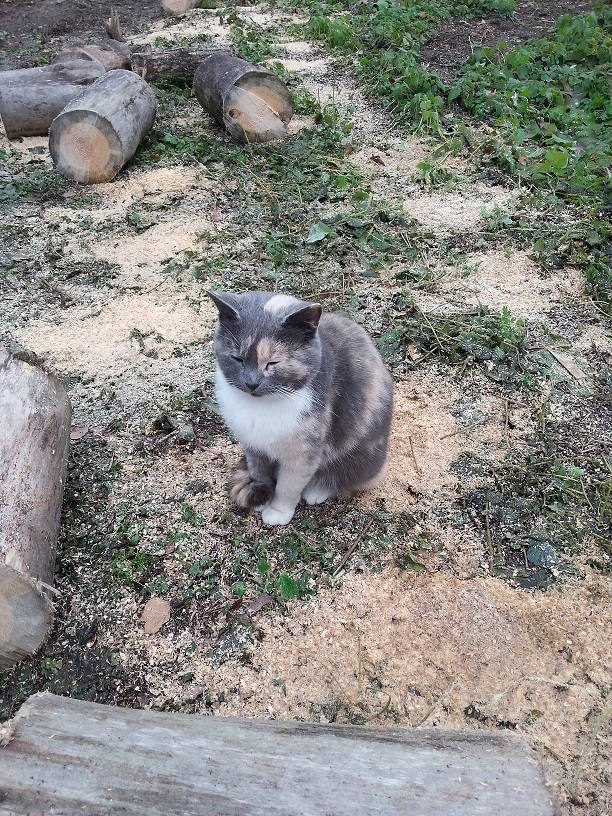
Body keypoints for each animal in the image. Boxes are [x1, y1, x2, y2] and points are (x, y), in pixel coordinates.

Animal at [209, 290, 392, 524]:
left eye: (273, 363)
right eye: (237, 358)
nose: (251, 383)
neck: (260, 406)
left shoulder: (304, 453)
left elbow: (288, 486)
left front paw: (278, 511)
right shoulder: (252, 444)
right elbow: (258, 470)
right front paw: (260, 492)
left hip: (361, 458)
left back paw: (318, 490)